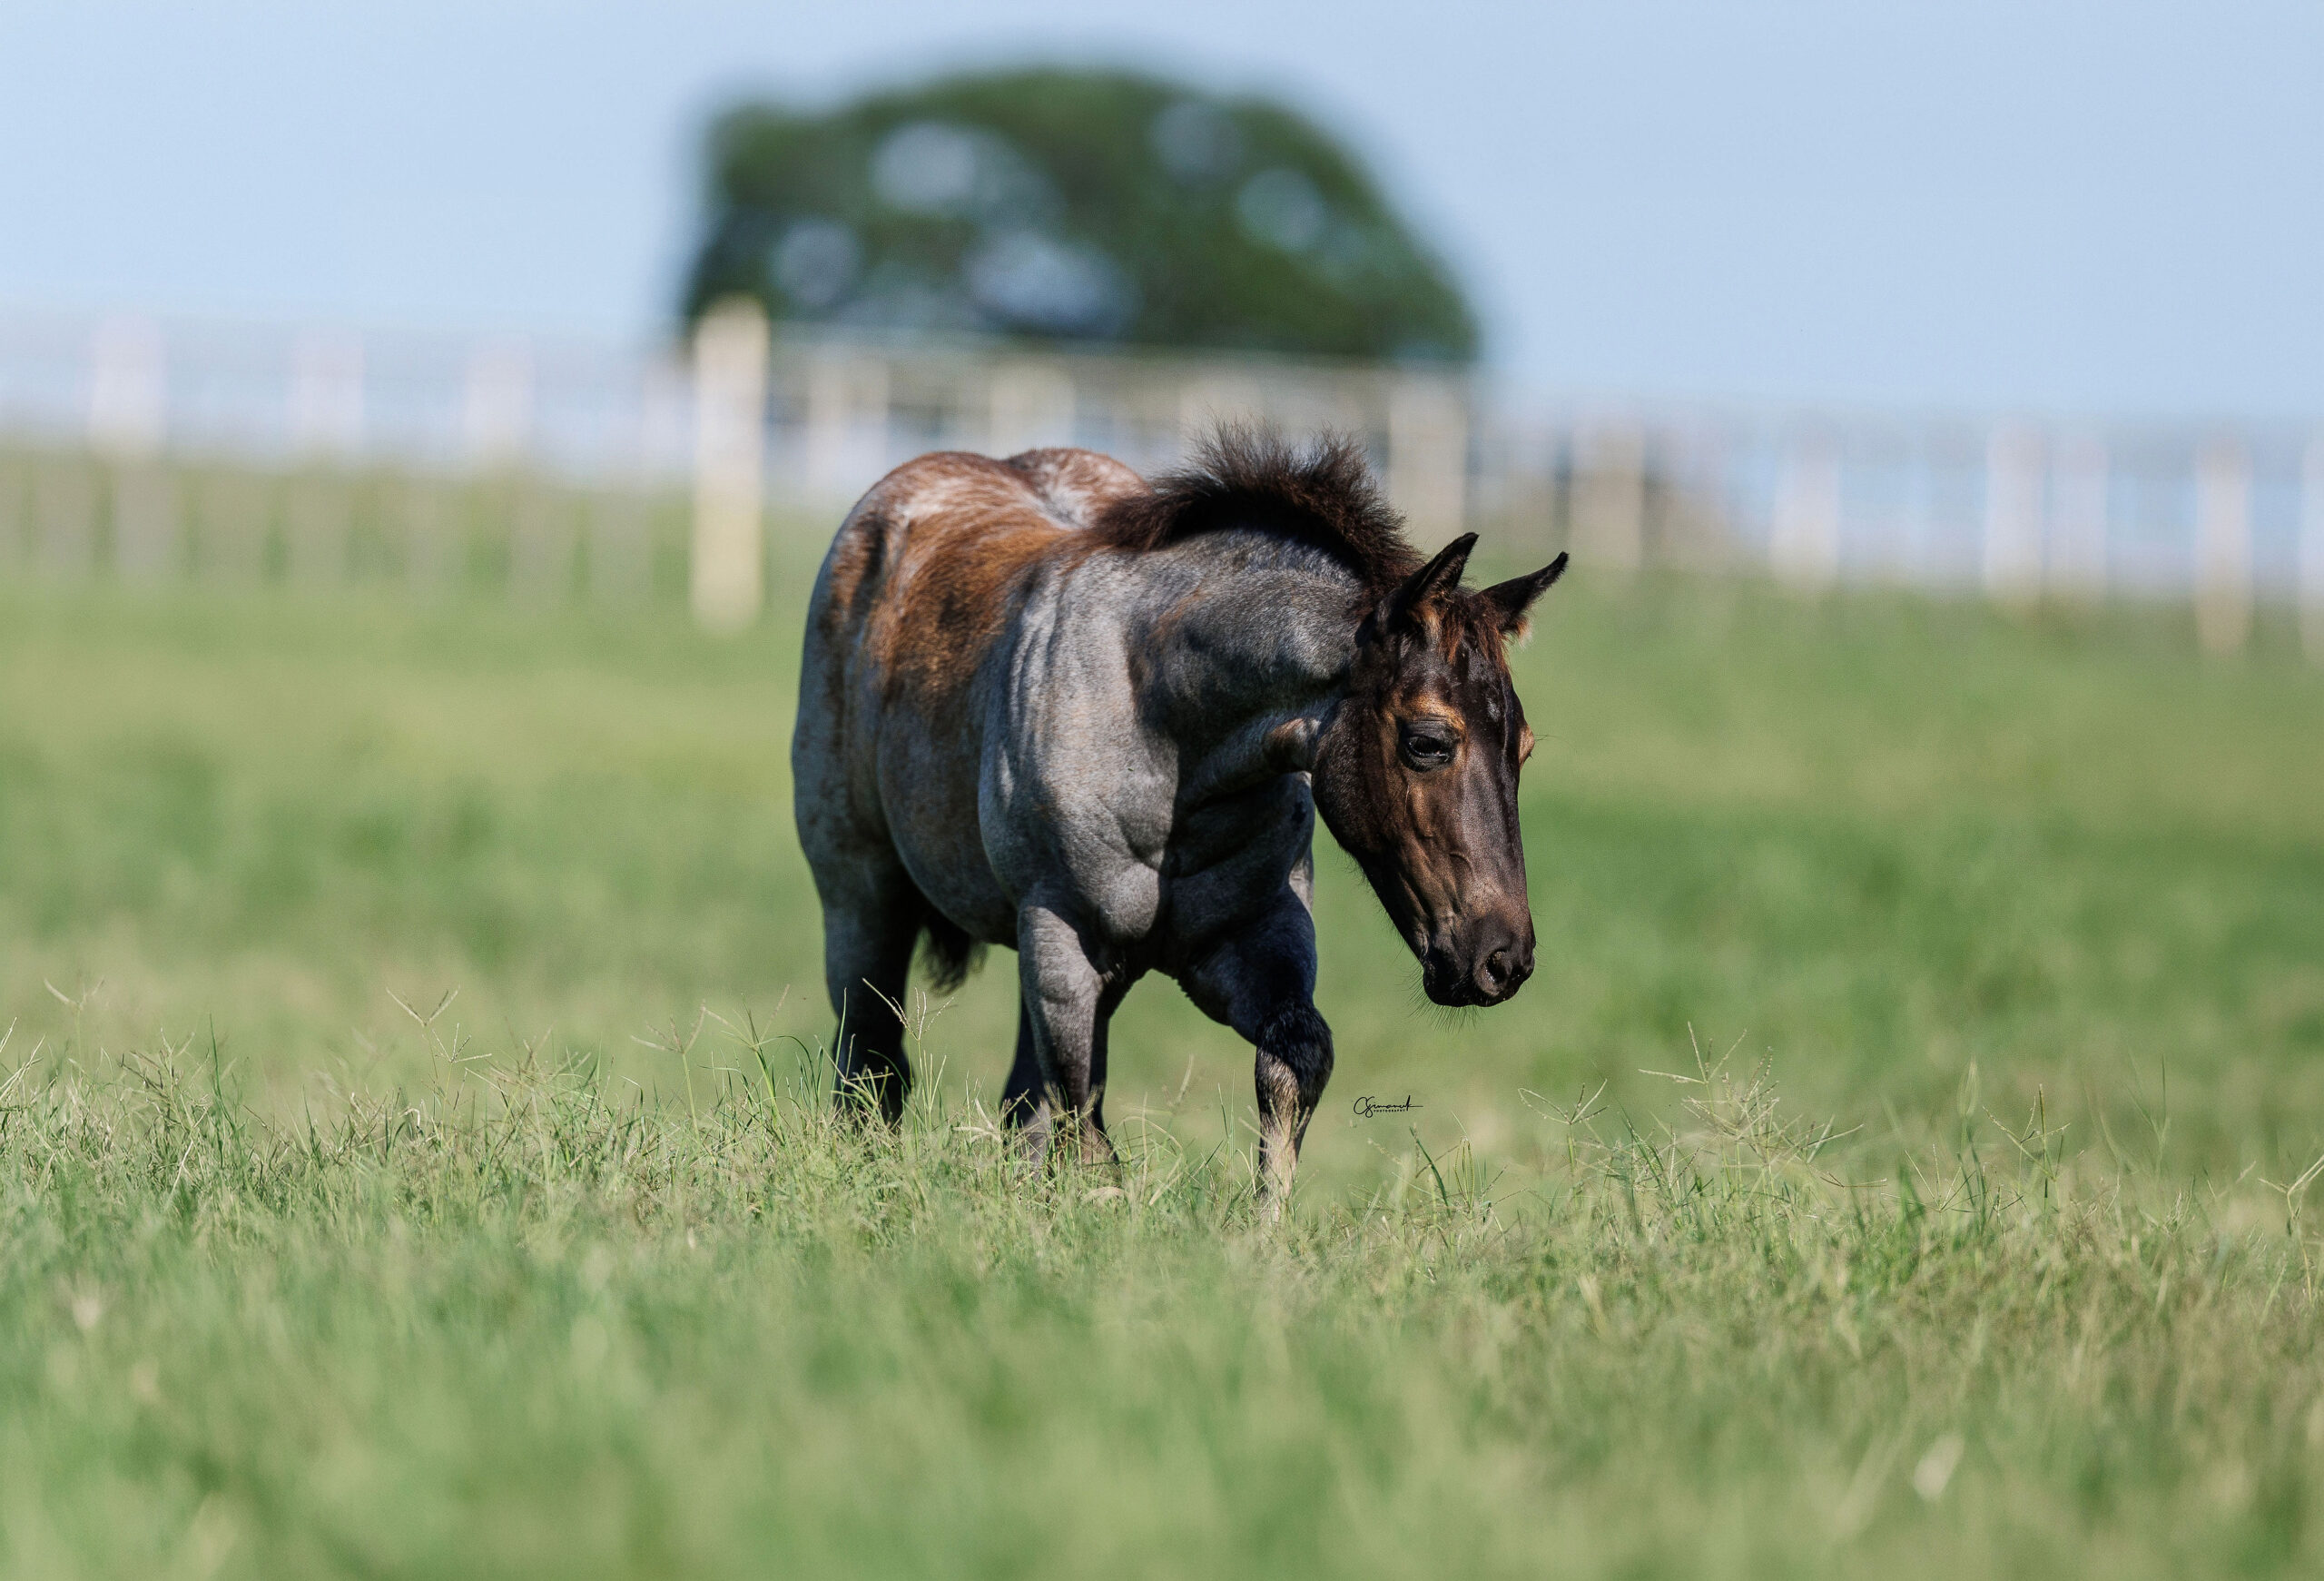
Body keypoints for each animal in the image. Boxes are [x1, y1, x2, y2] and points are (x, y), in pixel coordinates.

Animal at [792, 428, 1566, 1196]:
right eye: (1428, 741)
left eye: (1525, 746)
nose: (1502, 959)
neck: (1164, 732)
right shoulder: (1061, 937)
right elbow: (1084, 1123)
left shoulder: (1245, 936)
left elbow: (1296, 1060)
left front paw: (1264, 1226)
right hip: (863, 897)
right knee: (872, 1059)